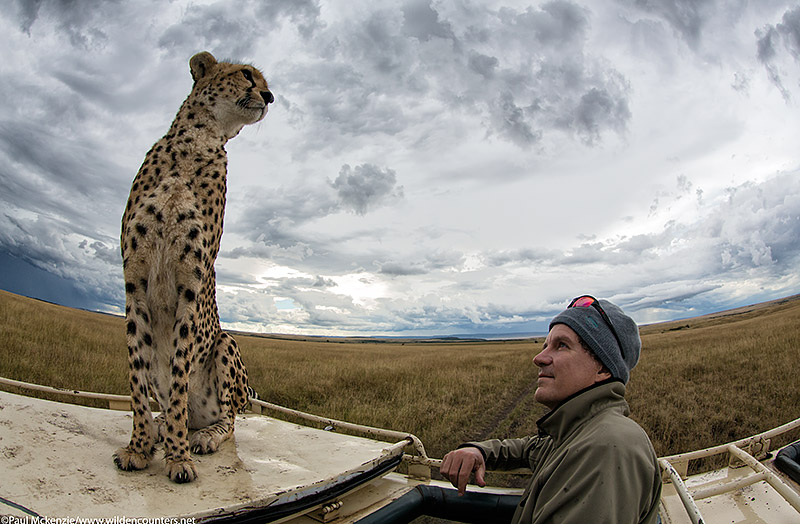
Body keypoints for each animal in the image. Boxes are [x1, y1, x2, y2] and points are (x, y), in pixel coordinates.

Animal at [112, 53, 276, 484]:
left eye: (265, 83)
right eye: (246, 75)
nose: (270, 96)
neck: (196, 143)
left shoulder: (191, 284)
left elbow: (180, 373)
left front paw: (178, 456)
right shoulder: (134, 282)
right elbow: (137, 375)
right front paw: (139, 447)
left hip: (227, 343)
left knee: (229, 419)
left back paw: (200, 435)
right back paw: (158, 430)